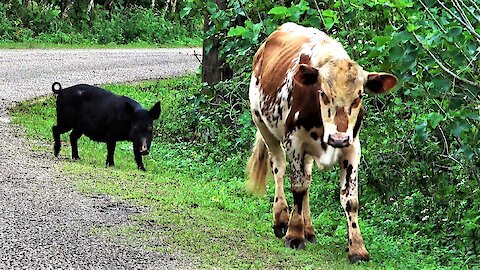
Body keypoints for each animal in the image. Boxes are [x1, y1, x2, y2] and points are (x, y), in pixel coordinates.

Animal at [248, 23, 398, 262]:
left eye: (359, 96)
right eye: (323, 93)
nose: (338, 138)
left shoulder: (352, 147)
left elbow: (350, 199)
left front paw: (357, 248)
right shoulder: (294, 142)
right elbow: (298, 187)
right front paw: (294, 234)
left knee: (307, 178)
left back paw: (308, 229)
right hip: (262, 123)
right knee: (279, 168)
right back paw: (281, 218)